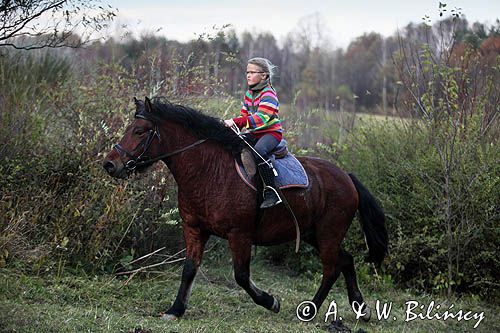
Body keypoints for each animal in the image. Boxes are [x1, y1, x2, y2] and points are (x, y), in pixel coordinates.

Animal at [103, 96, 388, 320]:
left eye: (140, 131)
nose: (110, 164)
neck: (209, 171)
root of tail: (346, 176)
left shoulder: (239, 235)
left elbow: (241, 275)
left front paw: (271, 301)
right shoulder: (194, 229)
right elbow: (189, 268)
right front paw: (175, 310)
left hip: (328, 233)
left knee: (331, 269)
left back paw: (310, 310)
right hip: (313, 234)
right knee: (345, 260)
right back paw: (361, 309)